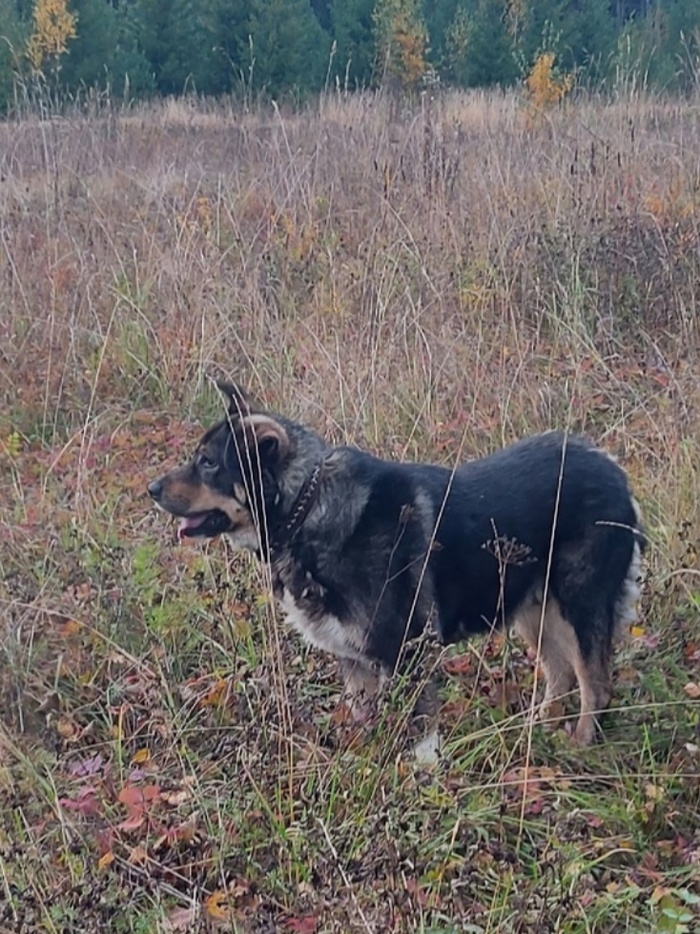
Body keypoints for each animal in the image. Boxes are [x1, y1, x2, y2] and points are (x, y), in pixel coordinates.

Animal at [148, 382, 645, 747]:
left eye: (208, 463)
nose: (150, 489)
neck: (307, 509)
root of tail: (613, 468)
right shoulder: (355, 662)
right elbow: (366, 721)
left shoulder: (404, 651)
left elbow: (421, 734)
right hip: (531, 608)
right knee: (560, 674)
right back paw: (535, 730)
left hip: (579, 606)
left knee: (594, 683)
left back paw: (579, 745)